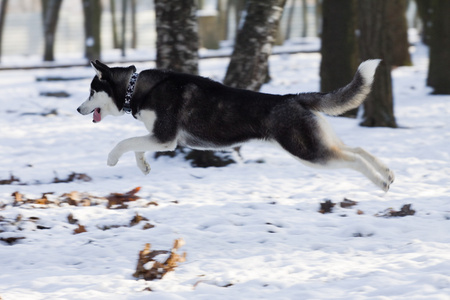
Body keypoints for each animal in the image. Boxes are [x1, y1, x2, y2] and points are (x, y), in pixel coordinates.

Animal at [78, 59, 394, 191]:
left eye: (92, 91)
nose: (78, 109)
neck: (135, 89)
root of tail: (292, 97)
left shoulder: (165, 138)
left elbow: (125, 142)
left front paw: (112, 158)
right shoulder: (160, 139)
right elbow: (137, 147)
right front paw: (143, 166)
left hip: (308, 152)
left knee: (354, 159)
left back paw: (379, 182)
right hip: (317, 142)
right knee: (358, 148)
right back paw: (387, 172)